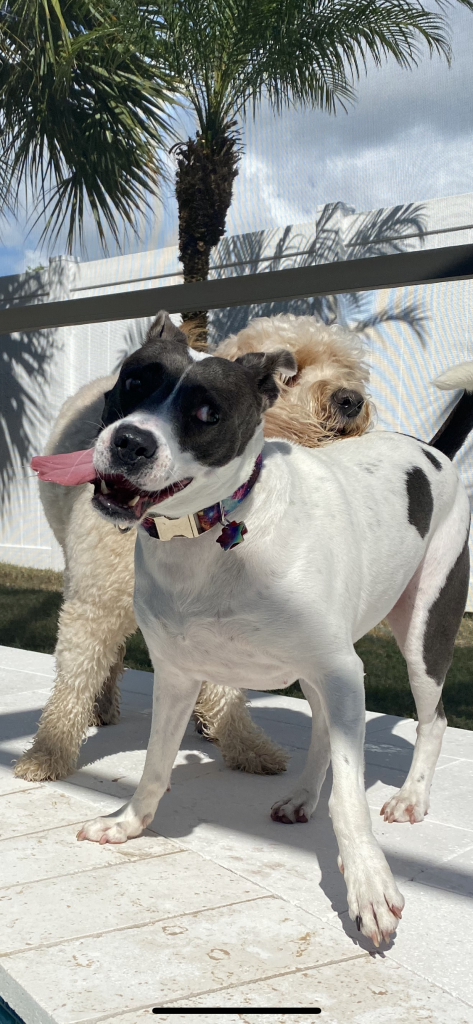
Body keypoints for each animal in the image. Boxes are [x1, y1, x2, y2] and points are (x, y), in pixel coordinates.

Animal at [14, 315, 372, 778]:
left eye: (349, 369)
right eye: (293, 375)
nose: (351, 400)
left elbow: (225, 687)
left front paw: (243, 743)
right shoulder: (93, 603)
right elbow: (74, 679)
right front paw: (49, 752)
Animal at [76, 325, 468, 942]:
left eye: (207, 413)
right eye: (134, 382)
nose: (130, 442)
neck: (215, 532)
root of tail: (431, 451)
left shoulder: (342, 669)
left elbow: (350, 798)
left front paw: (369, 883)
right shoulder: (177, 676)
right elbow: (156, 763)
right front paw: (130, 821)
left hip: (422, 632)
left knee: (433, 719)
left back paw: (410, 797)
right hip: (317, 673)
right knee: (325, 732)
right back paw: (304, 795)